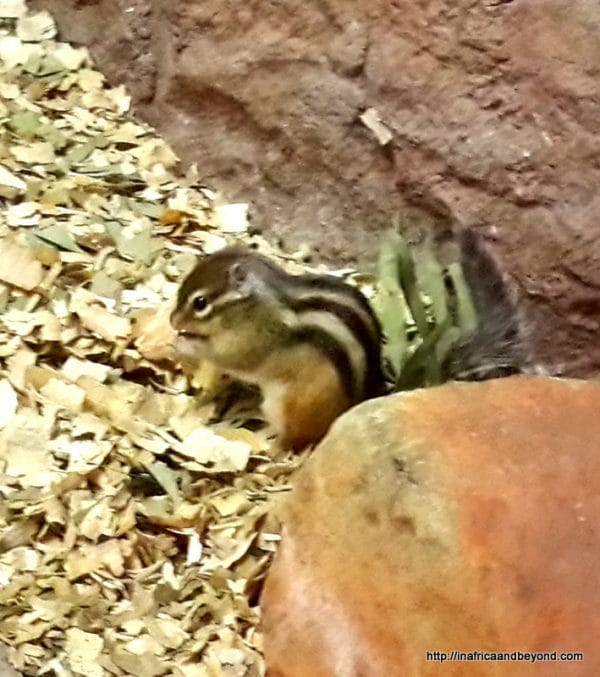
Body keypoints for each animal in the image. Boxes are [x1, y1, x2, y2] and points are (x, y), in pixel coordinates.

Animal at [170, 231, 527, 450]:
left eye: (200, 303)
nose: (173, 320)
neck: (256, 304)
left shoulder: (254, 342)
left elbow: (234, 358)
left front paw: (185, 342)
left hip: (288, 406)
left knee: (295, 439)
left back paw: (267, 442)